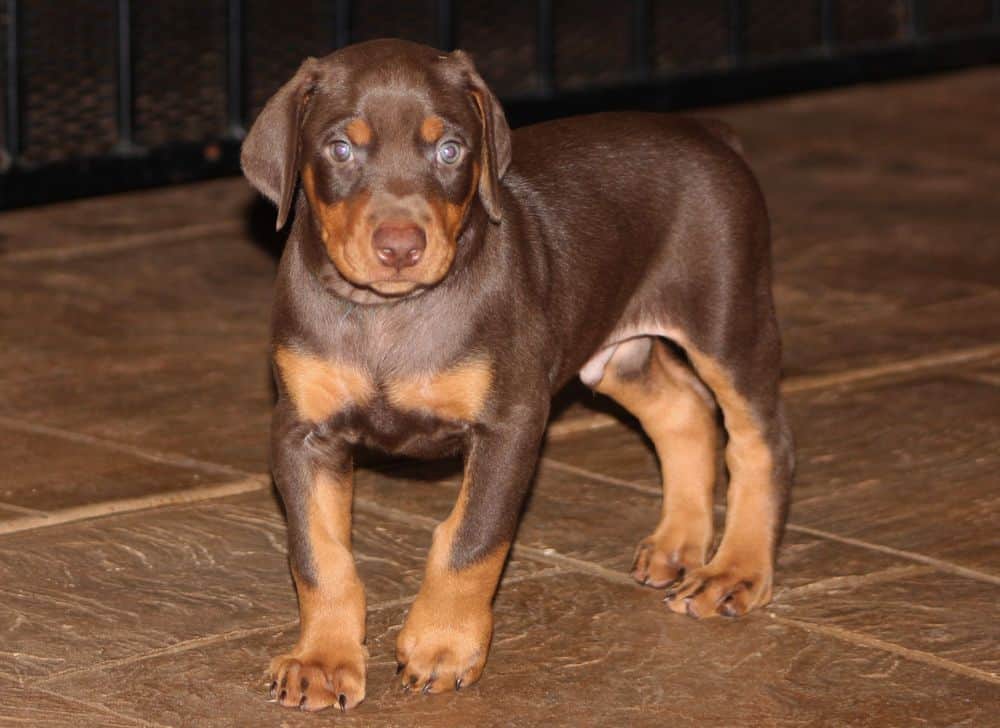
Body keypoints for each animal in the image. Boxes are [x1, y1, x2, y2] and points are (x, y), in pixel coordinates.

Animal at [240, 38, 788, 712]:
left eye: (450, 150)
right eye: (341, 148)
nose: (400, 247)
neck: (388, 317)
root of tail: (711, 133)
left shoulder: (511, 421)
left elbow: (471, 539)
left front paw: (442, 645)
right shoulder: (301, 432)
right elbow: (319, 555)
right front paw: (321, 660)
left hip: (729, 322)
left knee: (762, 441)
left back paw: (736, 570)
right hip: (613, 350)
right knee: (683, 410)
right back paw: (679, 543)